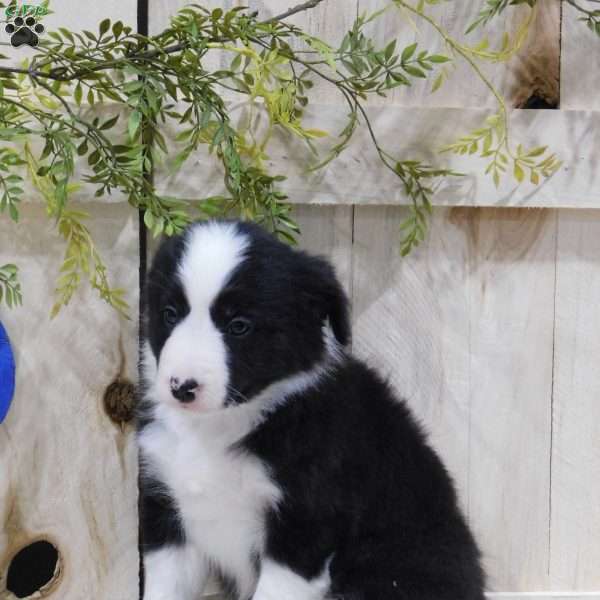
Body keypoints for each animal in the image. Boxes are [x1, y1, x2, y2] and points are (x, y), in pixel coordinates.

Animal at [138, 220, 486, 600]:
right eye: (169, 314)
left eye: (239, 325)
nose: (181, 387)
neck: (219, 426)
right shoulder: (167, 512)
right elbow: (163, 589)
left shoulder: (304, 526)